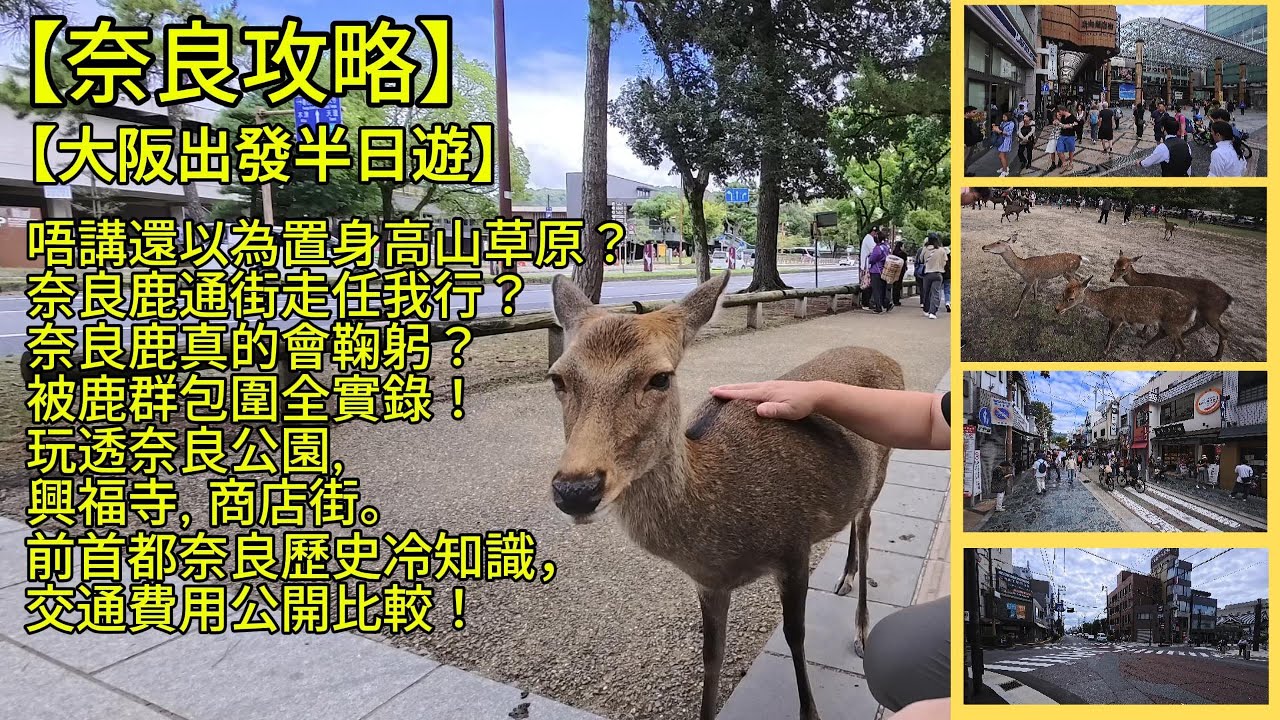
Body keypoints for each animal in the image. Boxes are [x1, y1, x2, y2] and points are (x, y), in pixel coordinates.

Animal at [547, 272, 900, 720]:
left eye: (660, 377)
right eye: (557, 378)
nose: (575, 489)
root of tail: (889, 359)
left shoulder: (794, 545)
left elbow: (795, 634)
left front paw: (811, 711)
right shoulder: (709, 583)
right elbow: (711, 655)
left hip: (882, 469)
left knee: (868, 525)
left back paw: (862, 629)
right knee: (855, 519)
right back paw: (845, 577)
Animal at [1055, 275, 1198, 360]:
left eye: (1071, 298)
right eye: (1062, 293)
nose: (1057, 309)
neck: (1104, 304)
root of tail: (1192, 311)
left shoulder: (1118, 317)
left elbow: (1111, 334)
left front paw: (1105, 350)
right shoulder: (1112, 318)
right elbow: (1108, 332)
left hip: (1173, 324)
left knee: (1181, 347)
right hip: (1166, 323)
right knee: (1164, 335)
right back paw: (1144, 347)